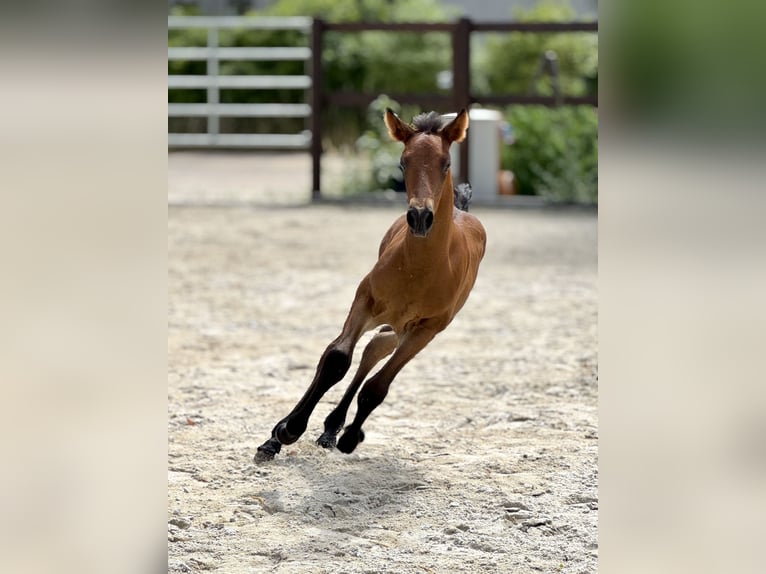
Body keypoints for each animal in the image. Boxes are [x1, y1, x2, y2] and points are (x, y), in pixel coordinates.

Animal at [255, 108, 487, 461]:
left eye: (446, 163)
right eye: (403, 163)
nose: (420, 217)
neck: (421, 268)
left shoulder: (427, 329)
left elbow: (377, 386)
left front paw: (349, 437)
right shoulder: (364, 299)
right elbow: (335, 359)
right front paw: (287, 430)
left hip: (403, 329)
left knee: (376, 349)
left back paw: (335, 429)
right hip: (387, 320)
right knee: (358, 350)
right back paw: (292, 434)